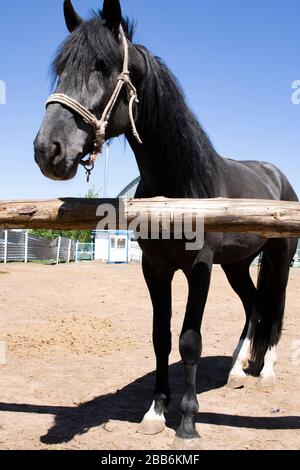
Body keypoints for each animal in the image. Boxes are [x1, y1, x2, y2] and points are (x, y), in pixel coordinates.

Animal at [34, 0, 296, 448]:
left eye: (102, 66)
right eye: (61, 68)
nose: (47, 150)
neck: (179, 188)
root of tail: (277, 176)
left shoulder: (199, 269)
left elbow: (189, 341)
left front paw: (187, 421)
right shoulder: (155, 268)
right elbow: (160, 337)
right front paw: (156, 412)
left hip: (277, 260)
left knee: (273, 309)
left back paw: (266, 372)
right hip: (238, 265)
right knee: (254, 307)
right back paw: (235, 370)